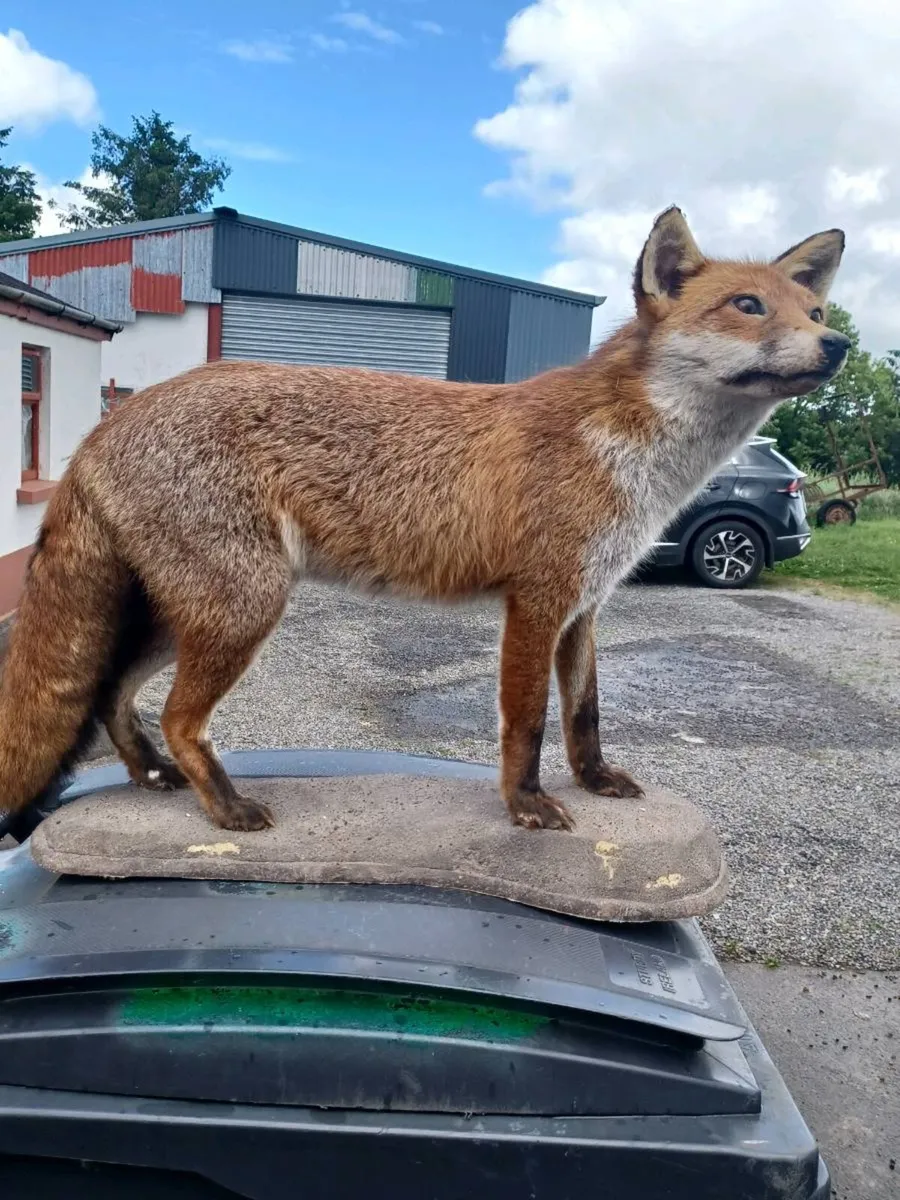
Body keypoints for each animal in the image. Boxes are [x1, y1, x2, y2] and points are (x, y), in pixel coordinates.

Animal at [0, 207, 848, 841]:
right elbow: (526, 723)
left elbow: (585, 715)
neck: (634, 458)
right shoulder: (536, 602)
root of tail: (107, 423)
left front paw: (597, 781)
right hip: (243, 607)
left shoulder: (584, 607)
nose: (838, 343)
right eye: (747, 307)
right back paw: (227, 809)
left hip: (183, 617)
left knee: (111, 697)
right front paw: (526, 806)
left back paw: (152, 777)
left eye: (815, 310)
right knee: (177, 717)